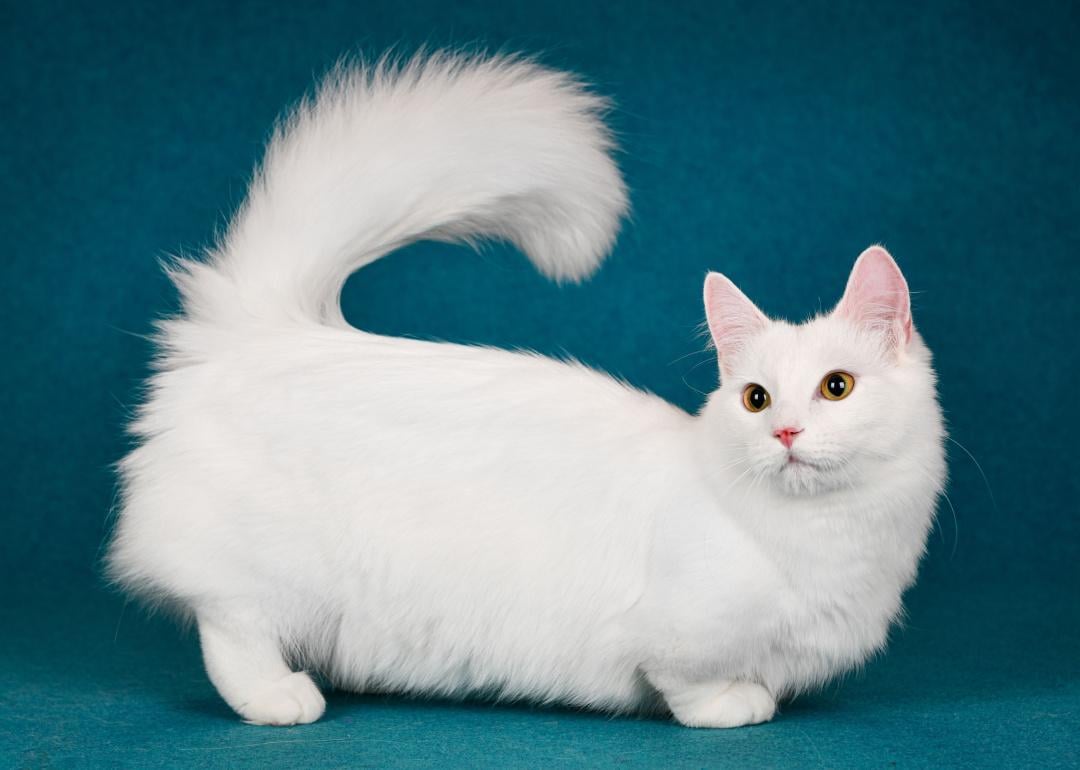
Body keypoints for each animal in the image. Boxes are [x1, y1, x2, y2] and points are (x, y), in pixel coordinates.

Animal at [107, 52, 946, 725]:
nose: (786, 433)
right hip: (269, 572)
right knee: (229, 628)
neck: (833, 541)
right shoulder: (673, 638)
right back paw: (281, 698)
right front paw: (739, 707)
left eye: (836, 387)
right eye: (756, 399)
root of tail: (270, 327)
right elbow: (695, 688)